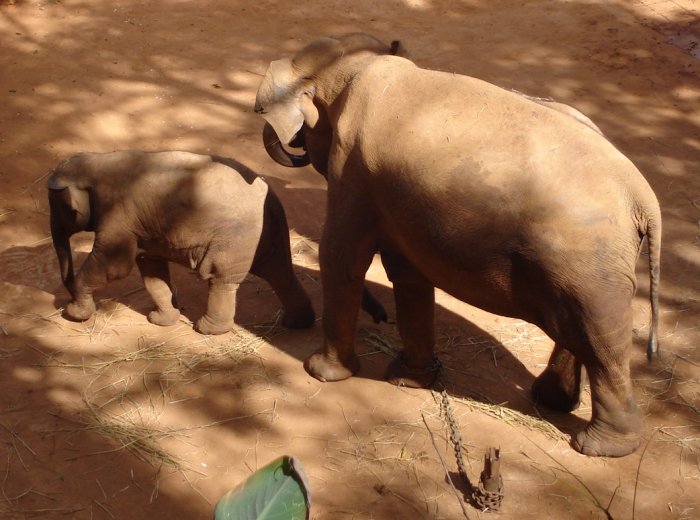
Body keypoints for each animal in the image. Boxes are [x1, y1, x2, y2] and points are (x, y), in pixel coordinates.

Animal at [45, 150, 314, 336]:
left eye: (58, 208)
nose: (64, 301)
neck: (99, 162)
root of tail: (271, 199)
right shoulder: (143, 226)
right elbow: (152, 269)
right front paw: (160, 320)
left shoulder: (118, 217)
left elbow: (114, 265)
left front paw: (75, 314)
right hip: (267, 235)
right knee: (280, 273)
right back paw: (296, 323)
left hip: (234, 237)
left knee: (220, 277)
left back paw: (206, 329)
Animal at [253, 32, 660, 458]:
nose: (379, 318)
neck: (360, 66)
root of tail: (641, 197)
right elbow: (407, 272)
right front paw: (410, 380)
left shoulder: (352, 167)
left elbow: (342, 255)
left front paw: (323, 373)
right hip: (590, 267)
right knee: (580, 330)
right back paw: (552, 402)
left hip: (587, 263)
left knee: (600, 340)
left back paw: (597, 447)